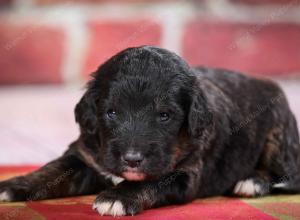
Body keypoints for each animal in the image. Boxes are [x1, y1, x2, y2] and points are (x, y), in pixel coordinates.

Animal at [0, 45, 300, 216]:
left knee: (289, 174)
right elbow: (51, 171)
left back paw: (251, 181)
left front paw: (118, 198)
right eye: (111, 112)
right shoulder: (84, 155)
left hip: (278, 135)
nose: (132, 159)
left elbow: (151, 181)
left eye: (164, 116)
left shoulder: (185, 173)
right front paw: (14, 184)